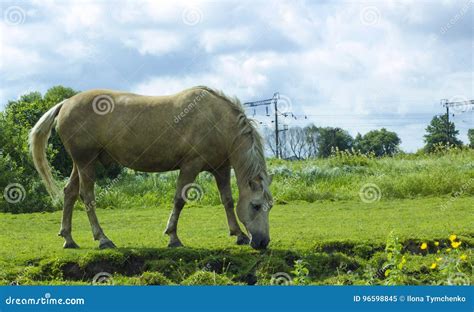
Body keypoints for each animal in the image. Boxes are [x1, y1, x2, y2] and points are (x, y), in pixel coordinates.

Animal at [28, 86, 274, 251]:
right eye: (255, 205)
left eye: (269, 206)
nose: (263, 242)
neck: (217, 120)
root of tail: (65, 103)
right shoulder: (190, 165)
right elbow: (179, 200)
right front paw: (173, 237)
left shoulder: (221, 168)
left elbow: (228, 201)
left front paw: (239, 234)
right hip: (86, 162)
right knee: (86, 195)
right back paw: (103, 239)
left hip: (80, 163)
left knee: (69, 193)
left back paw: (69, 239)